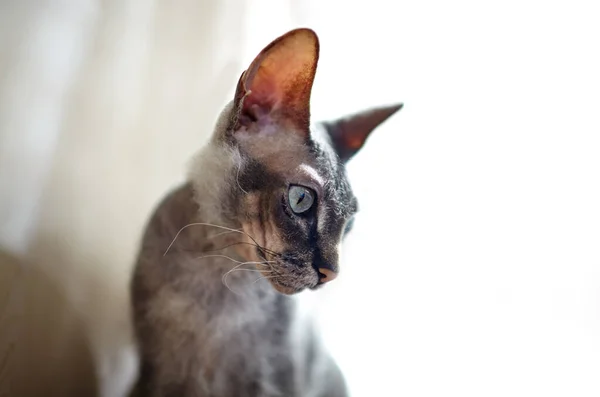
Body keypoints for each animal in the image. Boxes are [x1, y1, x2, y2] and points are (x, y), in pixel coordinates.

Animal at [131, 28, 404, 396]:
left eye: (348, 224)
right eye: (301, 200)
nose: (332, 273)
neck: (216, 272)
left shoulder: (271, 384)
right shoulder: (157, 375)